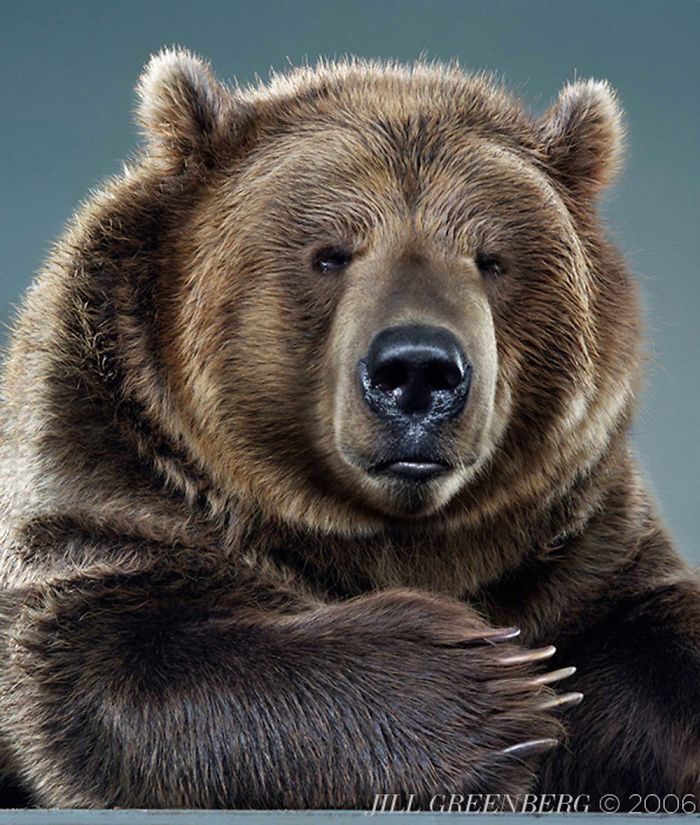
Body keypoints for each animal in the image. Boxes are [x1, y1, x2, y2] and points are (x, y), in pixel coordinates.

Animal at [0, 47, 698, 809]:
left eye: (492, 259)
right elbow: (111, 659)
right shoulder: (111, 486)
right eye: (329, 253)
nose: (418, 371)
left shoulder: (582, 541)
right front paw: (485, 686)